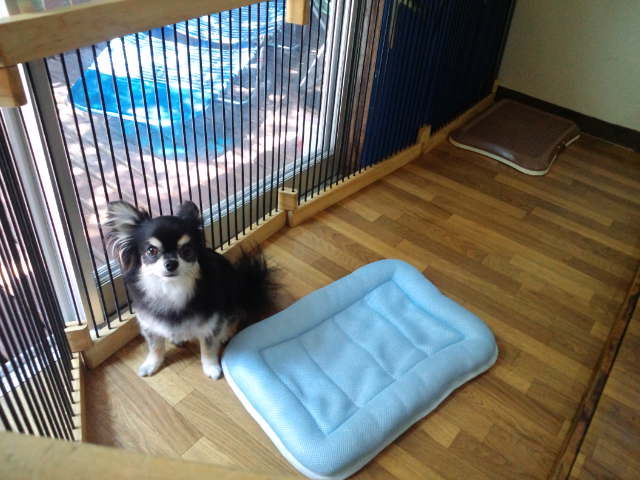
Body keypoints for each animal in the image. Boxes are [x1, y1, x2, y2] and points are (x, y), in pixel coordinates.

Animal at [105, 200, 274, 379]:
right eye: (151, 251)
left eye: (186, 250)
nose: (171, 263)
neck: (171, 289)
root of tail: (246, 282)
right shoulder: (149, 324)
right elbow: (155, 347)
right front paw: (151, 364)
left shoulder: (211, 323)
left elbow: (208, 347)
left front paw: (211, 367)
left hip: (232, 298)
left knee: (236, 315)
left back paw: (226, 333)